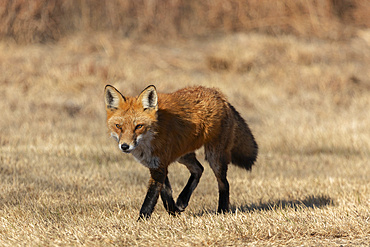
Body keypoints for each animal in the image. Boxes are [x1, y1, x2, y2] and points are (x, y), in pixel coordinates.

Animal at [103, 85, 258, 220]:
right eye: (118, 126)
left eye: (138, 126)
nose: (125, 146)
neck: (154, 133)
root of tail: (219, 94)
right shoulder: (158, 164)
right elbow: (166, 194)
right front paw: (174, 212)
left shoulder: (159, 167)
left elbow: (150, 199)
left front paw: (141, 222)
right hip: (182, 155)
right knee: (199, 169)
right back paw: (183, 200)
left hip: (214, 157)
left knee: (224, 183)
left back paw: (222, 211)